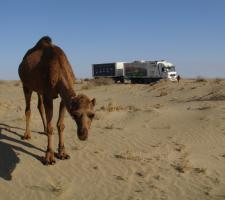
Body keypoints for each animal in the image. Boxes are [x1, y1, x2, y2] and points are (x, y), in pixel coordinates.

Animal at [18, 36, 96, 165]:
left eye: (92, 115)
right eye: (75, 115)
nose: (83, 135)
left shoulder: (63, 99)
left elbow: (61, 125)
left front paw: (62, 153)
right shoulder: (48, 95)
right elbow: (52, 127)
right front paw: (49, 156)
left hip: (39, 89)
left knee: (40, 106)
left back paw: (44, 130)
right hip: (26, 85)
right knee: (28, 109)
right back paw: (27, 135)